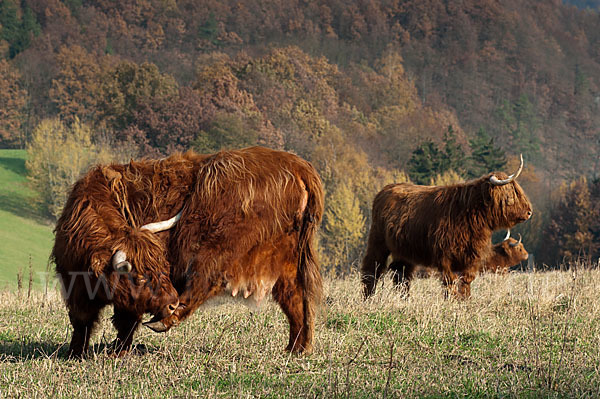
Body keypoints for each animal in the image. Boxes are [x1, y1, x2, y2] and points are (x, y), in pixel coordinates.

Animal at [52, 153, 206, 360]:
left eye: (165, 269)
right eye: (140, 278)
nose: (173, 304)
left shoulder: (130, 304)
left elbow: (127, 323)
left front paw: (119, 352)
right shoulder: (75, 287)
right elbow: (81, 322)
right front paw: (75, 353)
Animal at [145, 148, 324, 354]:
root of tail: (300, 168)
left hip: (221, 243)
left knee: (204, 278)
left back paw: (163, 319)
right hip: (287, 252)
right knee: (294, 294)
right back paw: (297, 348)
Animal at [364, 156, 532, 300]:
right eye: (511, 194)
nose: (529, 212)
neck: (470, 213)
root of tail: (385, 190)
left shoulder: (472, 256)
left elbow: (466, 280)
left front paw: (465, 300)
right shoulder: (444, 256)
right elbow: (450, 280)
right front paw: (451, 300)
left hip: (404, 250)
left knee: (401, 273)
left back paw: (404, 299)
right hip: (377, 241)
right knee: (372, 268)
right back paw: (368, 297)